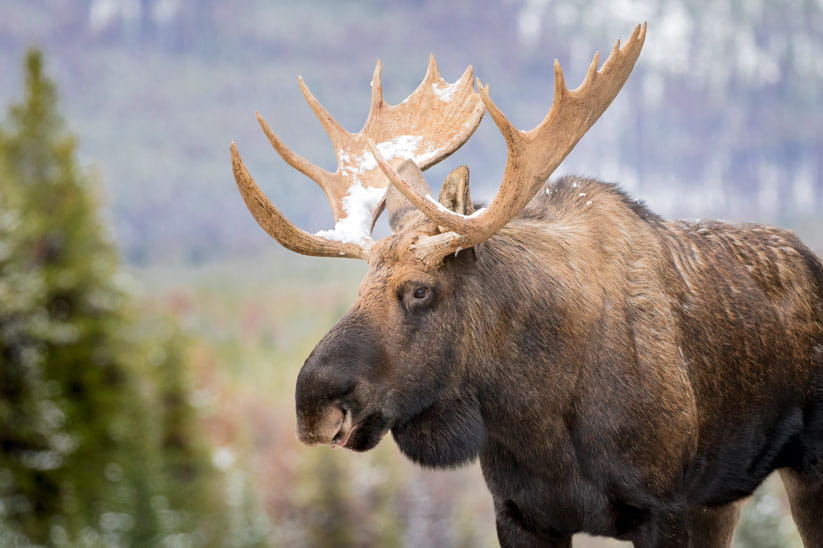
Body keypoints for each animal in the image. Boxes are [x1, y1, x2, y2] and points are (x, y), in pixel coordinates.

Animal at [229, 24, 823, 547]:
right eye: (359, 289)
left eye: (421, 290)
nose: (314, 404)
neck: (537, 413)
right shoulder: (522, 515)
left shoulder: (663, 509)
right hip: (720, 501)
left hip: (803, 471)